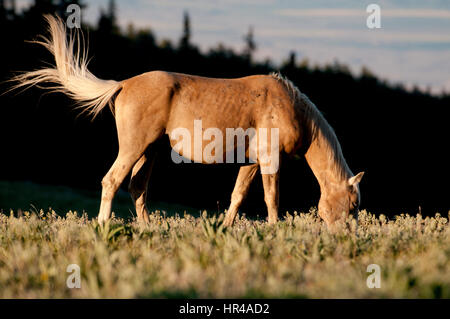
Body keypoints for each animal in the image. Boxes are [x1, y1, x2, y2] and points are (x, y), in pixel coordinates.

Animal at [10, 15, 364, 230]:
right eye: (352, 204)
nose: (345, 236)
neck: (291, 108)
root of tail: (123, 84)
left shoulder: (251, 162)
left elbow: (238, 196)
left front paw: (226, 228)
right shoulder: (269, 160)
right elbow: (271, 197)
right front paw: (275, 230)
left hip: (150, 151)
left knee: (137, 187)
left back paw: (148, 228)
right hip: (134, 147)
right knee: (111, 181)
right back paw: (103, 226)